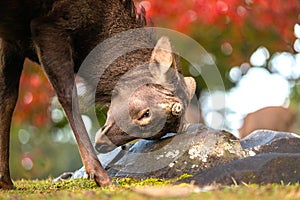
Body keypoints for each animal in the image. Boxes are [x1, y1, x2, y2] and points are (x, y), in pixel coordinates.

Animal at [0, 0, 196, 189]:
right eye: (146, 113)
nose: (103, 144)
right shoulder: (48, 26)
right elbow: (68, 96)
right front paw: (101, 176)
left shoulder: (13, 39)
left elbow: (7, 99)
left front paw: (6, 181)